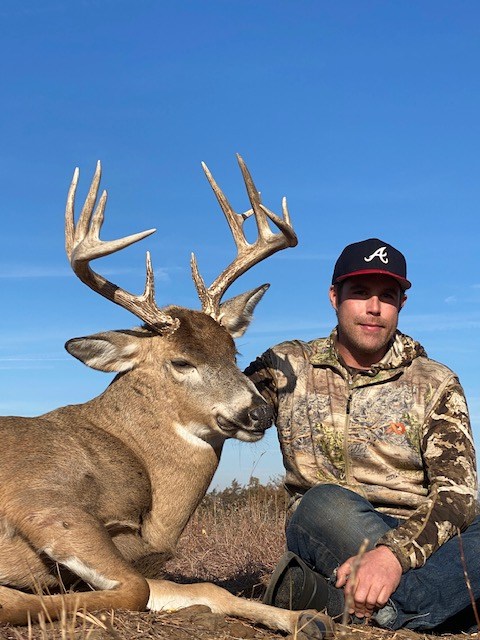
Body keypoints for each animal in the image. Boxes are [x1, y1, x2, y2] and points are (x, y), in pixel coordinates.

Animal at [0, 156, 335, 638]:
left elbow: (209, 590)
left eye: (233, 353)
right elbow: (134, 589)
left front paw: (306, 618)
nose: (258, 412)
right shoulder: (41, 498)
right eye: (181, 362)